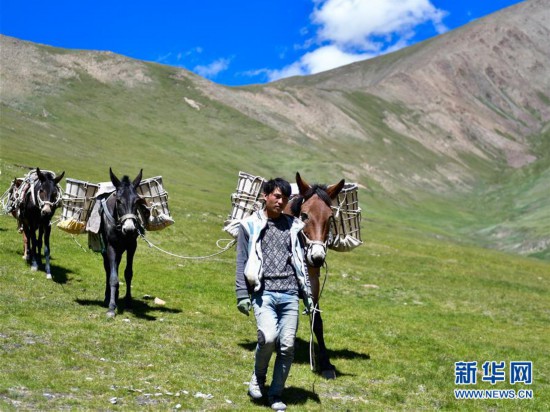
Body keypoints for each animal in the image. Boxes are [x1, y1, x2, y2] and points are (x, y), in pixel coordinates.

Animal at [284, 172, 344, 378]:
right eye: (304, 215)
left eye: (330, 217)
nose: (317, 257)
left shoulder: (314, 280)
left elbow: (317, 321)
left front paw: (326, 364)